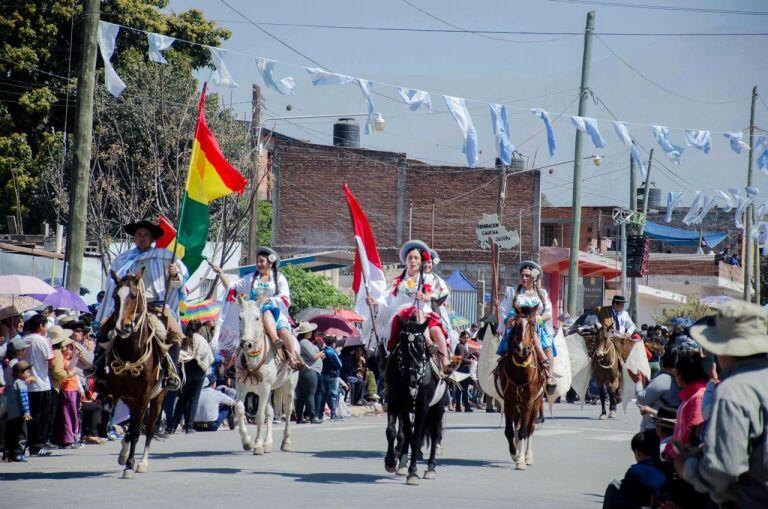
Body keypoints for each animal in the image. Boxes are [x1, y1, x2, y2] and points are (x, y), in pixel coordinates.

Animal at [104, 268, 167, 478]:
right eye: (115, 296)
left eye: (133, 295)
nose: (122, 327)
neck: (131, 354)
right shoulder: (113, 392)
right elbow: (114, 418)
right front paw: (124, 456)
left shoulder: (144, 395)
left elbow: (137, 430)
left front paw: (130, 464)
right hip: (131, 400)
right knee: (132, 424)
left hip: (157, 399)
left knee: (149, 428)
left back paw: (142, 463)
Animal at [232, 298, 298, 452]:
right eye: (239, 317)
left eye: (257, 318)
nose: (247, 344)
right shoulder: (241, 386)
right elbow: (240, 410)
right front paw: (247, 441)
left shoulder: (264, 387)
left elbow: (259, 416)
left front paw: (257, 445)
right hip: (269, 390)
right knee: (270, 412)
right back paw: (268, 443)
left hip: (289, 386)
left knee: (288, 410)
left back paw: (286, 442)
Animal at [388, 314, 448, 484]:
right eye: (401, 344)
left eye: (421, 344)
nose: (412, 378)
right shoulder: (396, 403)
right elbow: (394, 432)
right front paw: (391, 463)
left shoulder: (423, 406)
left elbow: (416, 438)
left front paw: (413, 473)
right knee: (408, 433)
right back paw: (402, 464)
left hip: (437, 408)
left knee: (435, 435)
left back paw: (431, 468)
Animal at [492, 308, 544, 470]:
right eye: (516, 326)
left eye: (532, 326)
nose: (523, 349)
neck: (521, 370)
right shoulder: (509, 400)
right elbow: (509, 430)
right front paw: (514, 453)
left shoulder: (529, 400)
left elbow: (523, 431)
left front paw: (521, 460)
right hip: (517, 404)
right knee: (518, 424)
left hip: (537, 402)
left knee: (529, 428)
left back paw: (528, 457)